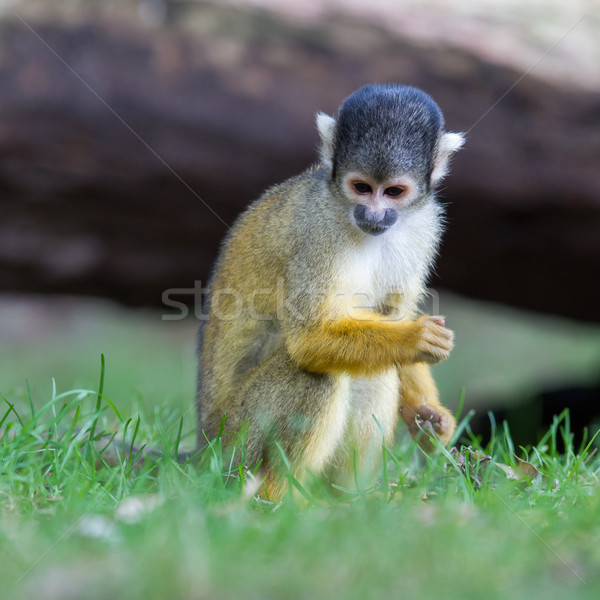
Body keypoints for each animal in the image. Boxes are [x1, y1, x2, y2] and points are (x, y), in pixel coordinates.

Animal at [197, 82, 464, 500]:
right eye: (361, 187)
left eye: (393, 192)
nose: (373, 215)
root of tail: (201, 450)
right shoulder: (316, 231)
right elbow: (309, 341)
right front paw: (415, 337)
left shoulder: (423, 225)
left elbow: (394, 315)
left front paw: (429, 417)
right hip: (235, 446)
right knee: (316, 375)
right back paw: (278, 498)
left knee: (372, 369)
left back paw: (350, 500)